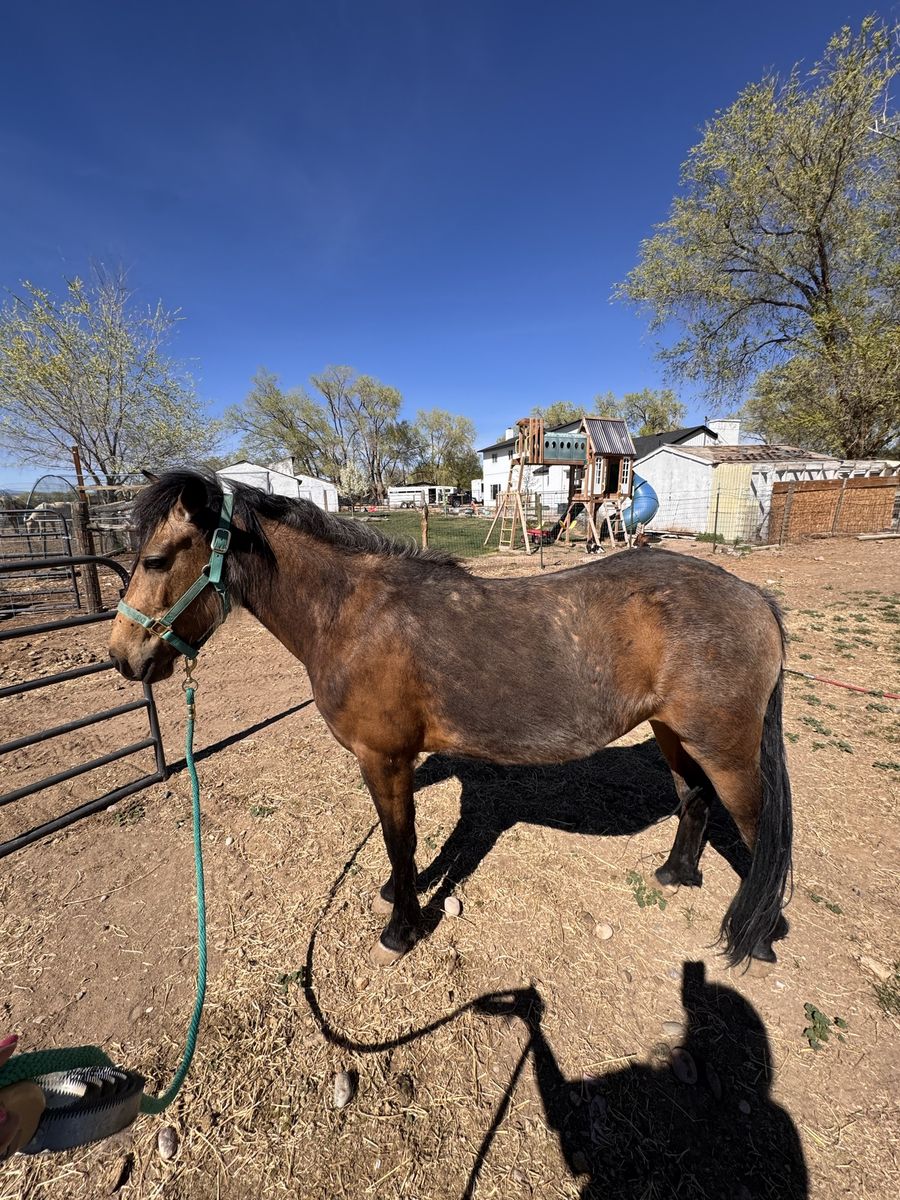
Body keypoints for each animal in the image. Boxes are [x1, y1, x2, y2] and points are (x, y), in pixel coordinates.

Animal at [109, 469, 793, 967]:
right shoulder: (396, 762)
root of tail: (755, 598)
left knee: (760, 833)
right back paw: (676, 874)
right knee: (694, 800)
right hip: (675, 733)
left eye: (157, 559)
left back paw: (758, 936)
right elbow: (402, 842)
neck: (353, 616)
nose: (123, 656)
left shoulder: (383, 757)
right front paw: (398, 892)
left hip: (726, 749)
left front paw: (401, 927)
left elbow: (400, 838)